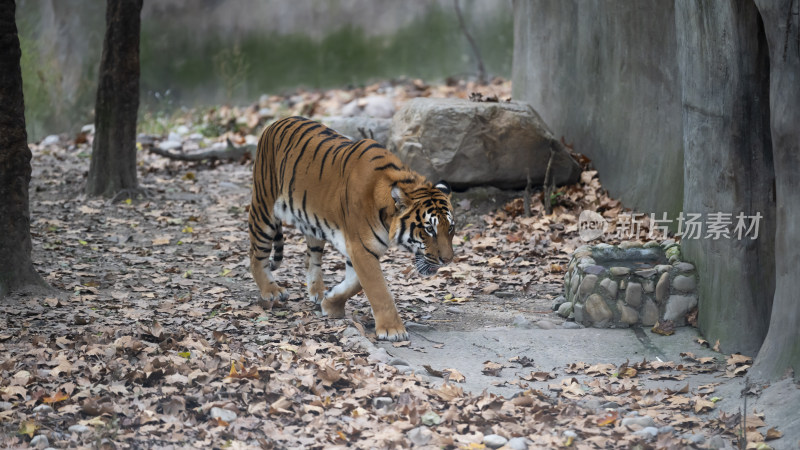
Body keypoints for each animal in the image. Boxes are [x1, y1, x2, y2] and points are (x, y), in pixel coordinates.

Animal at [244, 116, 456, 342]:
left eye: (450, 228)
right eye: (429, 229)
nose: (447, 260)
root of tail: (277, 121)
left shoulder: (357, 248)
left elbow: (355, 284)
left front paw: (330, 303)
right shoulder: (360, 247)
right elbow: (378, 289)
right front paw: (393, 330)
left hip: (312, 224)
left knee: (311, 258)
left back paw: (317, 291)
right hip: (264, 208)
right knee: (256, 255)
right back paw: (272, 290)